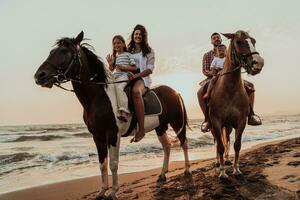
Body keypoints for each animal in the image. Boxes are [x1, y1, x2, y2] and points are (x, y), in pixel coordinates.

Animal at [33, 31, 190, 198]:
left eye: (64, 51)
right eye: (52, 52)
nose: (39, 76)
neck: (98, 97)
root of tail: (175, 92)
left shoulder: (113, 134)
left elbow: (113, 164)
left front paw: (113, 192)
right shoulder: (97, 136)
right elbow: (102, 164)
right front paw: (101, 191)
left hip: (177, 122)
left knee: (183, 142)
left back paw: (187, 170)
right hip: (160, 126)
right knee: (167, 146)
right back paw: (162, 174)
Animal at [207, 30, 264, 178]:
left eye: (254, 41)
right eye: (239, 42)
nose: (259, 63)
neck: (230, 90)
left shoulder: (241, 121)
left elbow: (236, 145)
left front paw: (236, 169)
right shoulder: (216, 122)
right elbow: (220, 146)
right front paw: (222, 172)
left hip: (228, 126)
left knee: (226, 139)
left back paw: (227, 160)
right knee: (218, 143)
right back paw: (218, 163)